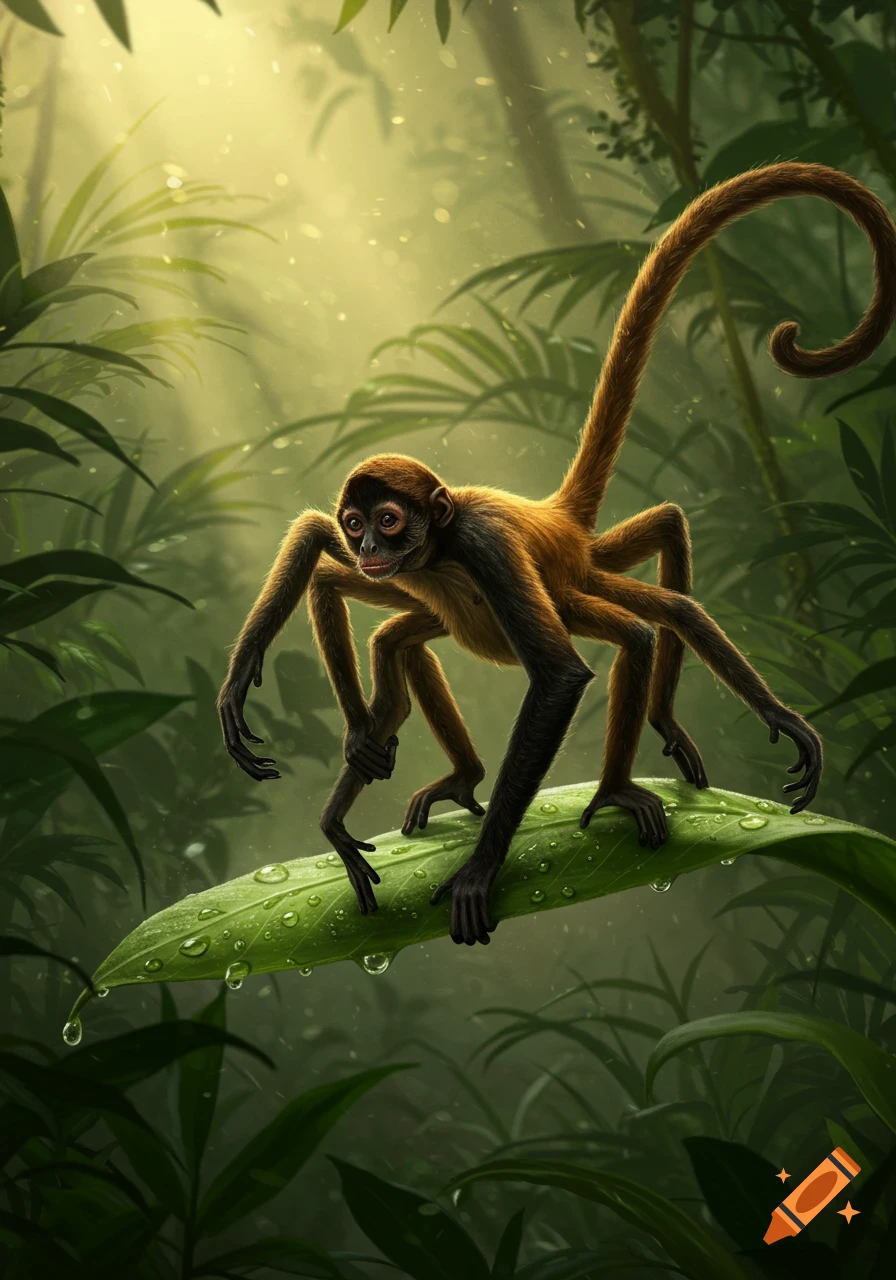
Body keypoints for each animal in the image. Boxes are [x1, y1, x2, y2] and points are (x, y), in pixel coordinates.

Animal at [218, 162, 896, 947]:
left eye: (389, 520)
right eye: (355, 524)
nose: (370, 549)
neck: (440, 547)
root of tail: (553, 516)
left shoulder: (484, 550)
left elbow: (563, 676)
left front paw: (480, 870)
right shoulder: (409, 572)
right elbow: (315, 557)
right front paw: (342, 745)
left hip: (567, 583)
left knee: (653, 618)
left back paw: (624, 777)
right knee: (399, 638)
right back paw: (464, 773)